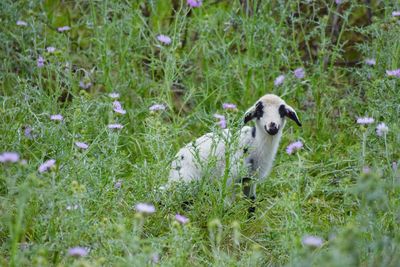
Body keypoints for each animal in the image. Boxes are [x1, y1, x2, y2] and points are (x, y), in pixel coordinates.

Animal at [165, 94, 300, 201]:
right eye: (259, 111)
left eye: (282, 112)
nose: (272, 127)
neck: (254, 143)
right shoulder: (231, 178)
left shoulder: (251, 179)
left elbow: (251, 202)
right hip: (186, 182)